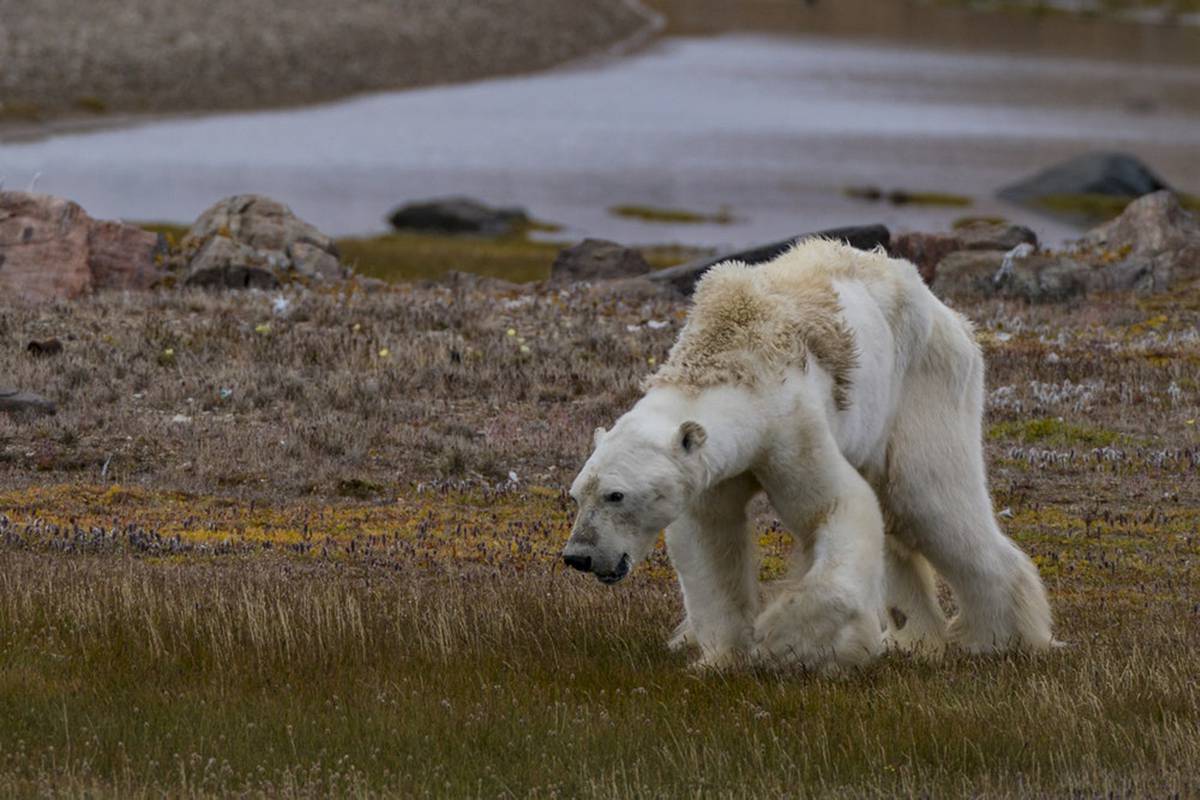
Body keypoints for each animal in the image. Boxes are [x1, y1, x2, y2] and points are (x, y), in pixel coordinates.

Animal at [561, 241, 1051, 671]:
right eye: (577, 494)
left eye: (616, 495)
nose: (578, 556)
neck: (730, 355)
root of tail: (950, 314)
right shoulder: (712, 470)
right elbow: (709, 540)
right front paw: (721, 657)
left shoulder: (790, 425)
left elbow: (836, 506)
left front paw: (783, 640)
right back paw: (914, 638)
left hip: (923, 383)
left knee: (929, 501)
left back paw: (997, 637)